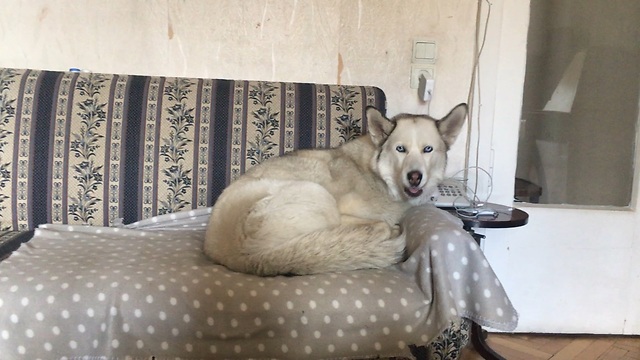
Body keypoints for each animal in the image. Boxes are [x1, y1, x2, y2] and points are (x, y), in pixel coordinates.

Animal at [204, 104, 464, 276]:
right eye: (401, 149)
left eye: (428, 149)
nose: (415, 177)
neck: (378, 174)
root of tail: (239, 257)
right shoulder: (344, 214)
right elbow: (381, 224)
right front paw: (386, 230)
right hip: (318, 197)